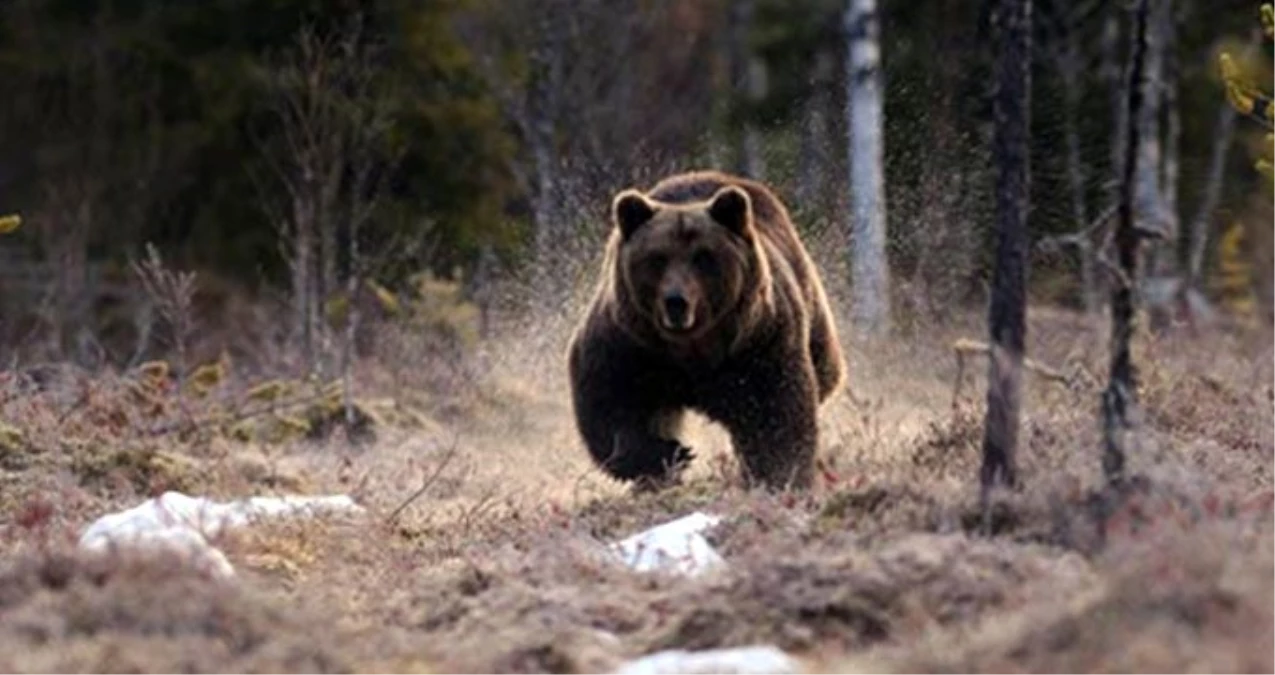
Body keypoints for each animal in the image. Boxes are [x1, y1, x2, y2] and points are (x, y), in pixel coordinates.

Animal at [563, 169, 841, 489]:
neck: (692, 348)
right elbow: (607, 397)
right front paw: (669, 454)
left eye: (703, 257)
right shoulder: (631, 343)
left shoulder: (759, 341)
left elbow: (776, 406)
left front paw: (779, 473)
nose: (676, 301)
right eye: (657, 258)